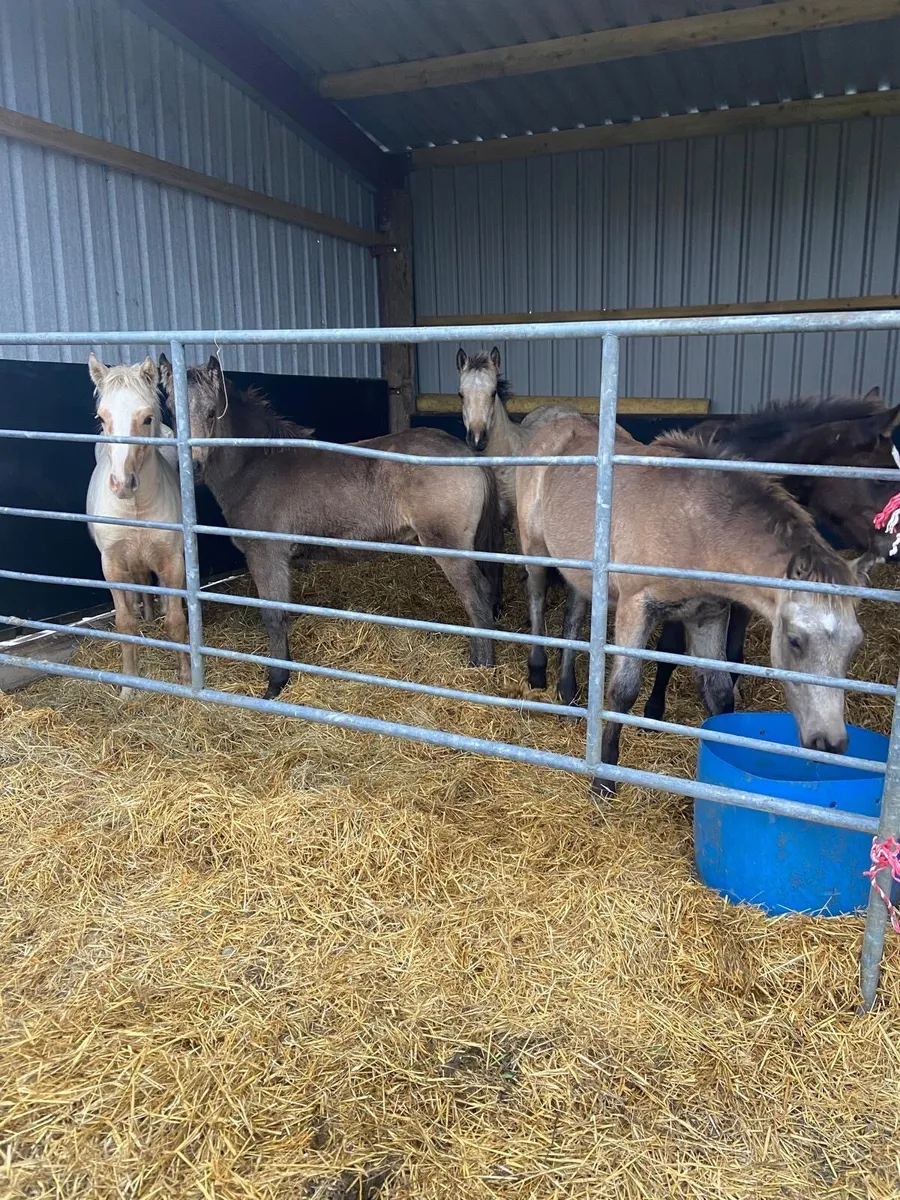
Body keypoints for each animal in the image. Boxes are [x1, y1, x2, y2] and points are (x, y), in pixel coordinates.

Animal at [86, 354, 188, 698]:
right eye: (102, 418)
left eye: (146, 418)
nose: (122, 484)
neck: (135, 507)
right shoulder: (113, 566)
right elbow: (125, 625)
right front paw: (129, 687)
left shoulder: (173, 561)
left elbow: (177, 623)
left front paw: (187, 677)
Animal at [158, 355, 503, 699]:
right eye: (172, 413)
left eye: (211, 412)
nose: (194, 467)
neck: (255, 466)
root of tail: (466, 452)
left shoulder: (266, 554)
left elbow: (273, 616)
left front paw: (276, 683)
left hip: (448, 545)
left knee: (477, 597)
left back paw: (481, 668)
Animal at [516, 413, 873, 795]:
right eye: (795, 641)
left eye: (855, 645)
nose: (830, 743)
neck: (695, 528)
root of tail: (555, 421)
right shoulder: (636, 609)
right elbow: (623, 692)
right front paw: (604, 778)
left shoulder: (708, 616)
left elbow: (720, 694)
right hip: (535, 552)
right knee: (536, 598)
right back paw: (537, 671)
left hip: (581, 573)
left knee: (572, 619)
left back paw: (567, 692)